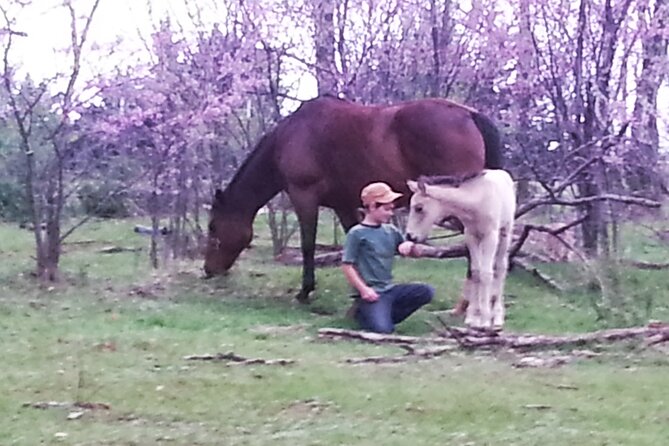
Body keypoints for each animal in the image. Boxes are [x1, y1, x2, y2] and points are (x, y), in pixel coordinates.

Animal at [204, 95, 504, 303]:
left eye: (213, 227)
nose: (209, 271)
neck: (289, 137)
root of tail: (470, 115)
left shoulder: (304, 197)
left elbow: (308, 245)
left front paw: (305, 291)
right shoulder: (344, 204)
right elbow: (354, 243)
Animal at [405, 169, 516, 329]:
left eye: (419, 208)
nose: (410, 236)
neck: (477, 200)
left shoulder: (490, 236)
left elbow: (486, 274)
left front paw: (485, 320)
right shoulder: (471, 236)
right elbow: (475, 273)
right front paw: (473, 319)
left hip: (505, 232)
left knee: (501, 268)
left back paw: (497, 317)